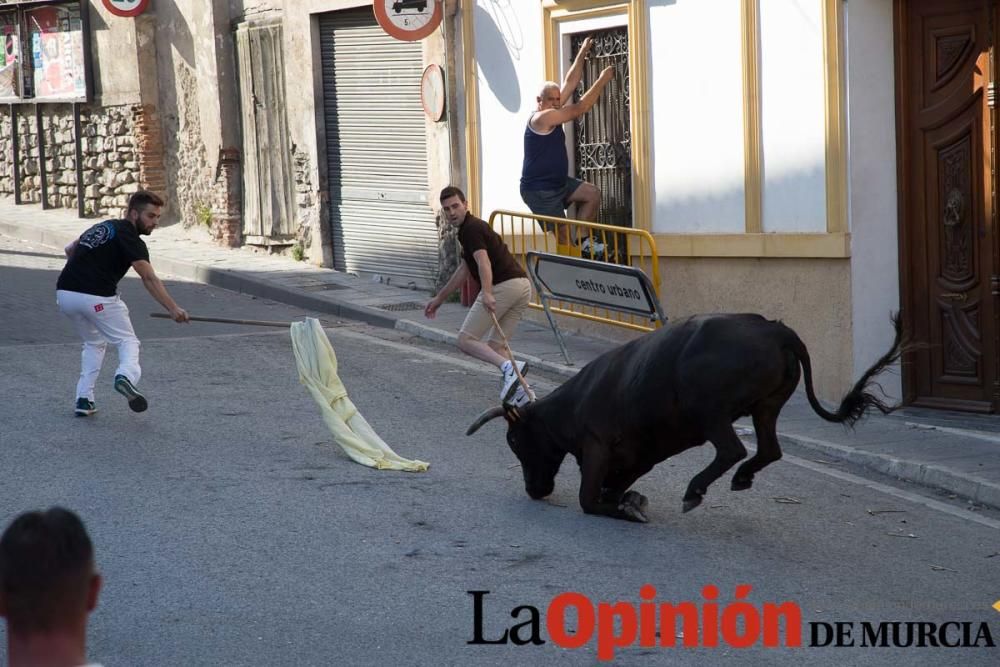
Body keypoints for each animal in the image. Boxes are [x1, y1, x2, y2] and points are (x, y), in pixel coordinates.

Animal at [464, 310, 904, 524]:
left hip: (710, 411)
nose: (534, 490)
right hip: (766, 407)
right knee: (768, 450)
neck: (571, 405)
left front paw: (627, 508)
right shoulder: (638, 457)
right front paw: (629, 501)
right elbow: (611, 488)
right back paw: (740, 479)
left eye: (515, 441)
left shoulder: (597, 446)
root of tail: (776, 330)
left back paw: (695, 490)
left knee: (732, 449)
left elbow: (589, 499)